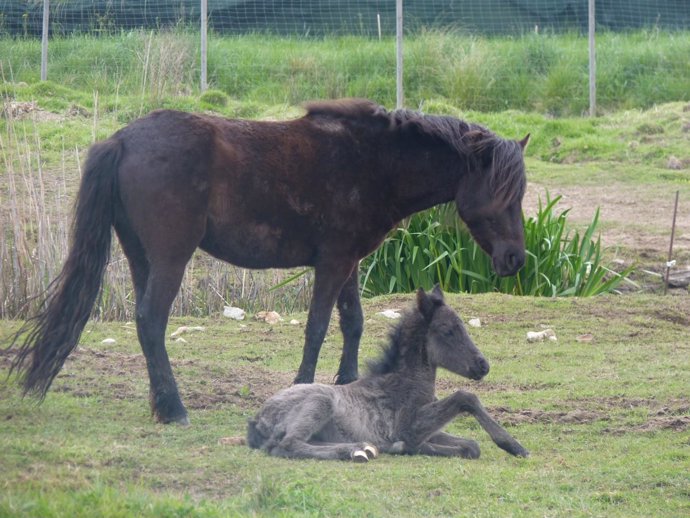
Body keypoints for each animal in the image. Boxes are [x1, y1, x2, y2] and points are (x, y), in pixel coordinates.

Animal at [8, 98, 528, 426]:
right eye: (504, 193)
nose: (515, 259)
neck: (372, 162)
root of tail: (122, 140)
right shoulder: (332, 264)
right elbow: (317, 328)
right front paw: (303, 388)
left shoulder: (348, 263)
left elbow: (353, 324)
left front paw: (349, 385)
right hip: (172, 257)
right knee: (152, 321)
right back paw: (175, 409)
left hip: (141, 257)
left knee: (144, 324)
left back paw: (160, 404)